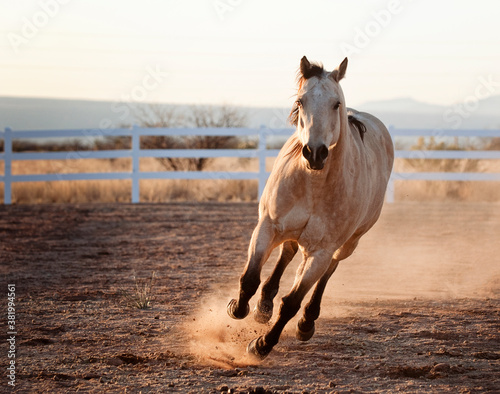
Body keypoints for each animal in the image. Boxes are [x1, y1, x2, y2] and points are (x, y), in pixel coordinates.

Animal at [227, 56, 394, 360]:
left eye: (336, 104)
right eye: (300, 101)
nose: (315, 152)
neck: (313, 182)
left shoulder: (321, 251)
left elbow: (292, 302)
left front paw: (262, 345)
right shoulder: (267, 226)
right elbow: (250, 277)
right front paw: (239, 308)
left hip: (347, 244)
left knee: (328, 272)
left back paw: (307, 321)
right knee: (288, 251)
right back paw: (264, 304)